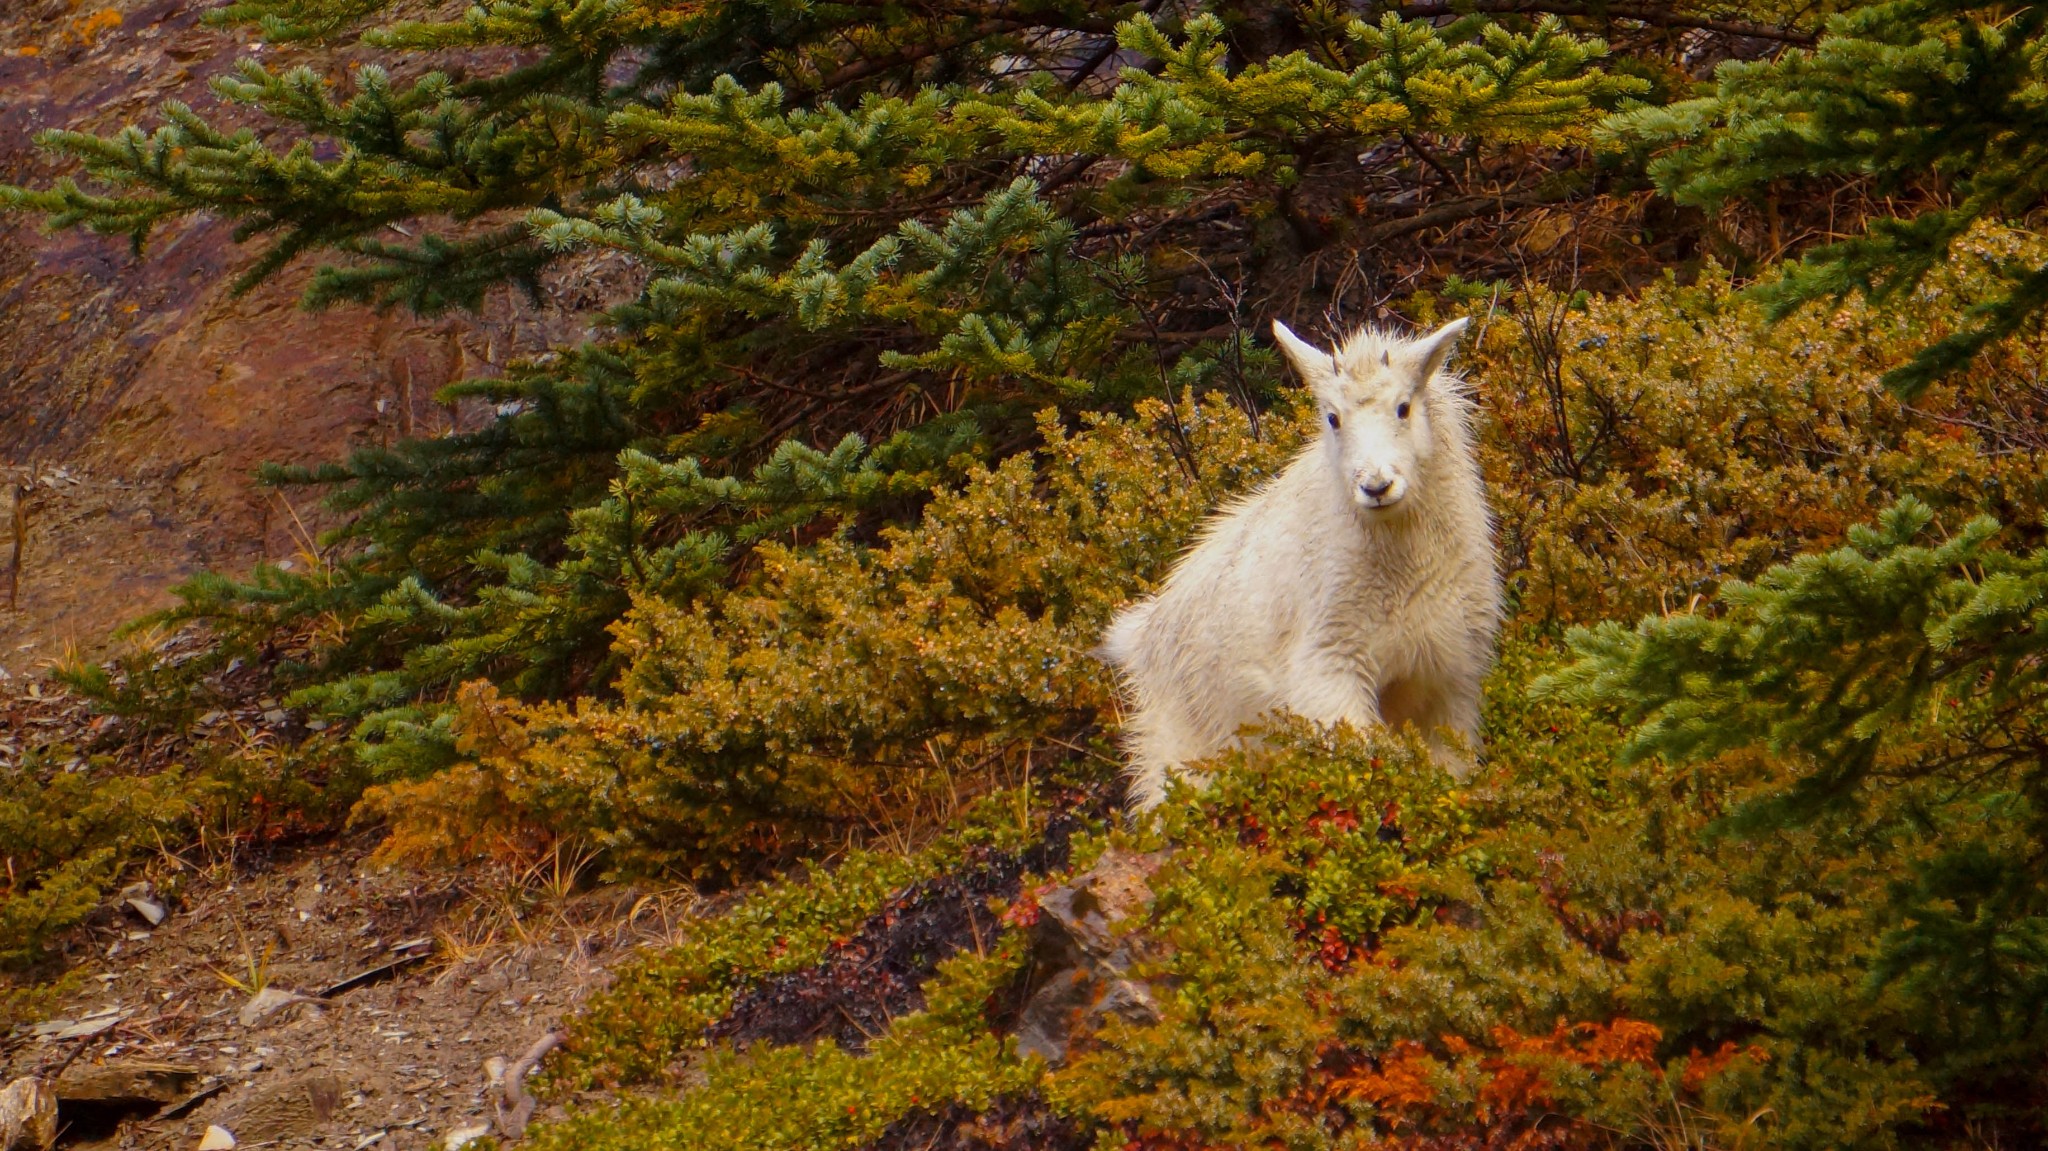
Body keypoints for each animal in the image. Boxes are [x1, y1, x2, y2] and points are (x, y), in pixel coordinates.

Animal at [1105, 313, 1507, 806]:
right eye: (1333, 417)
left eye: (1403, 407)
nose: (1376, 486)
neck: (1399, 564)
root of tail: (1143, 633)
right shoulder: (1330, 661)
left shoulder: (1449, 674)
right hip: (1183, 741)